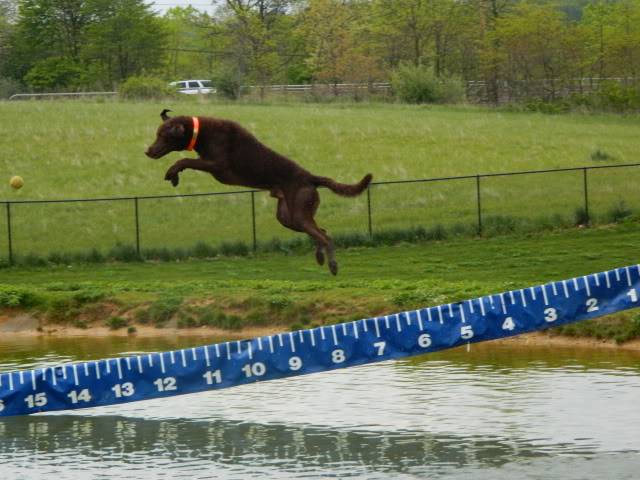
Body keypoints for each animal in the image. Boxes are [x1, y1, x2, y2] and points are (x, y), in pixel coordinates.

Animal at [146, 109, 372, 274]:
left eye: (163, 136)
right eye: (157, 134)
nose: (147, 151)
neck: (200, 132)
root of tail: (311, 178)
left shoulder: (217, 166)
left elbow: (185, 160)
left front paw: (172, 173)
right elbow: (186, 161)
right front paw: (174, 176)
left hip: (298, 213)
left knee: (325, 237)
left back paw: (332, 265)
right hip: (288, 217)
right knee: (322, 231)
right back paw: (319, 257)